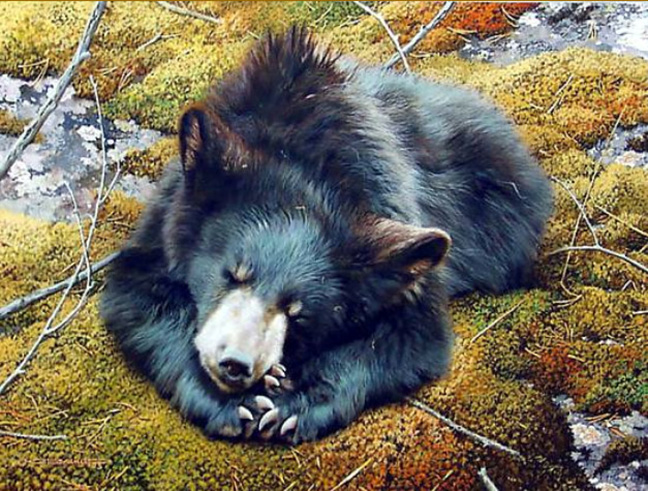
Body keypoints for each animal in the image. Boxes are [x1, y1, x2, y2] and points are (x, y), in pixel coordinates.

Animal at [100, 26, 553, 444]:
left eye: (297, 313)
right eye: (232, 274)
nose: (236, 364)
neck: (308, 165)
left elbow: (414, 336)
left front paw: (291, 403)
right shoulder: (165, 218)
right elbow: (136, 299)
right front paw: (231, 404)